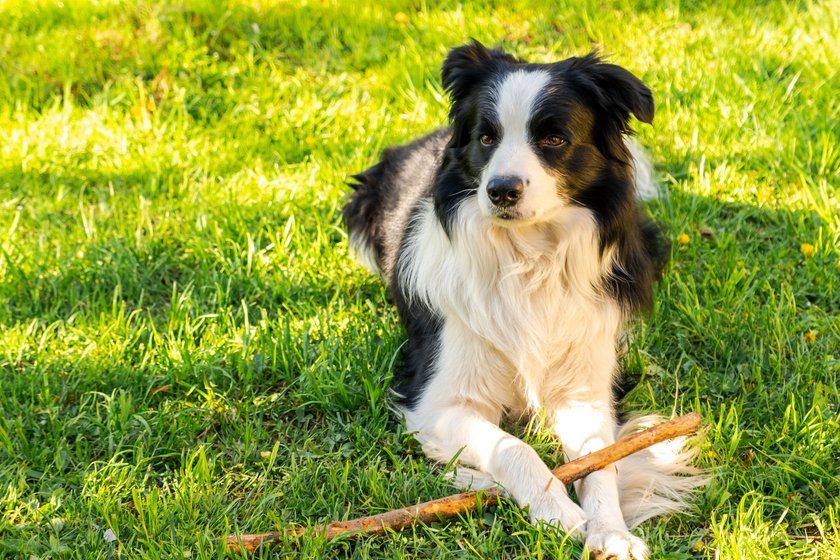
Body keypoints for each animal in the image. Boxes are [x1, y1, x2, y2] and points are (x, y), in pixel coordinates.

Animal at [342, 41, 704, 556]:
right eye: (486, 137)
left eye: (554, 138)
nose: (500, 190)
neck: (527, 257)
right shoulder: (439, 402)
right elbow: (514, 447)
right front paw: (558, 512)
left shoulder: (584, 389)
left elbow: (600, 460)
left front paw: (611, 530)